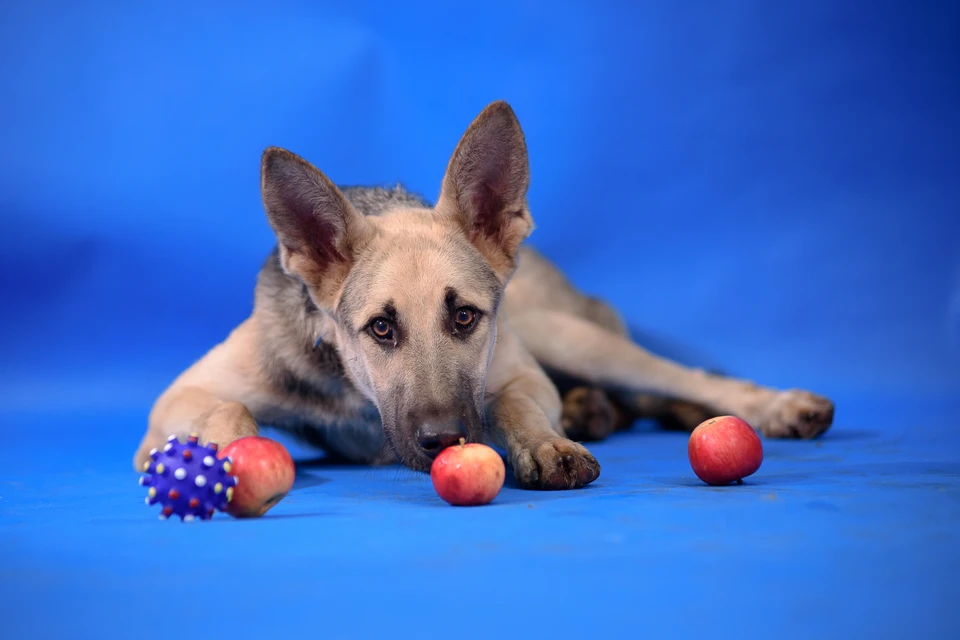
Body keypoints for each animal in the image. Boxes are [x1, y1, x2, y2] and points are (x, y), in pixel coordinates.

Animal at [133, 101, 832, 490]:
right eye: (380, 328)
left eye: (465, 317)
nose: (444, 441)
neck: (356, 392)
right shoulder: (178, 400)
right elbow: (230, 411)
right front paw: (231, 456)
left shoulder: (519, 373)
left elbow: (515, 405)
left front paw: (546, 443)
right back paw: (593, 410)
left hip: (567, 336)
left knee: (689, 379)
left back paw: (775, 406)